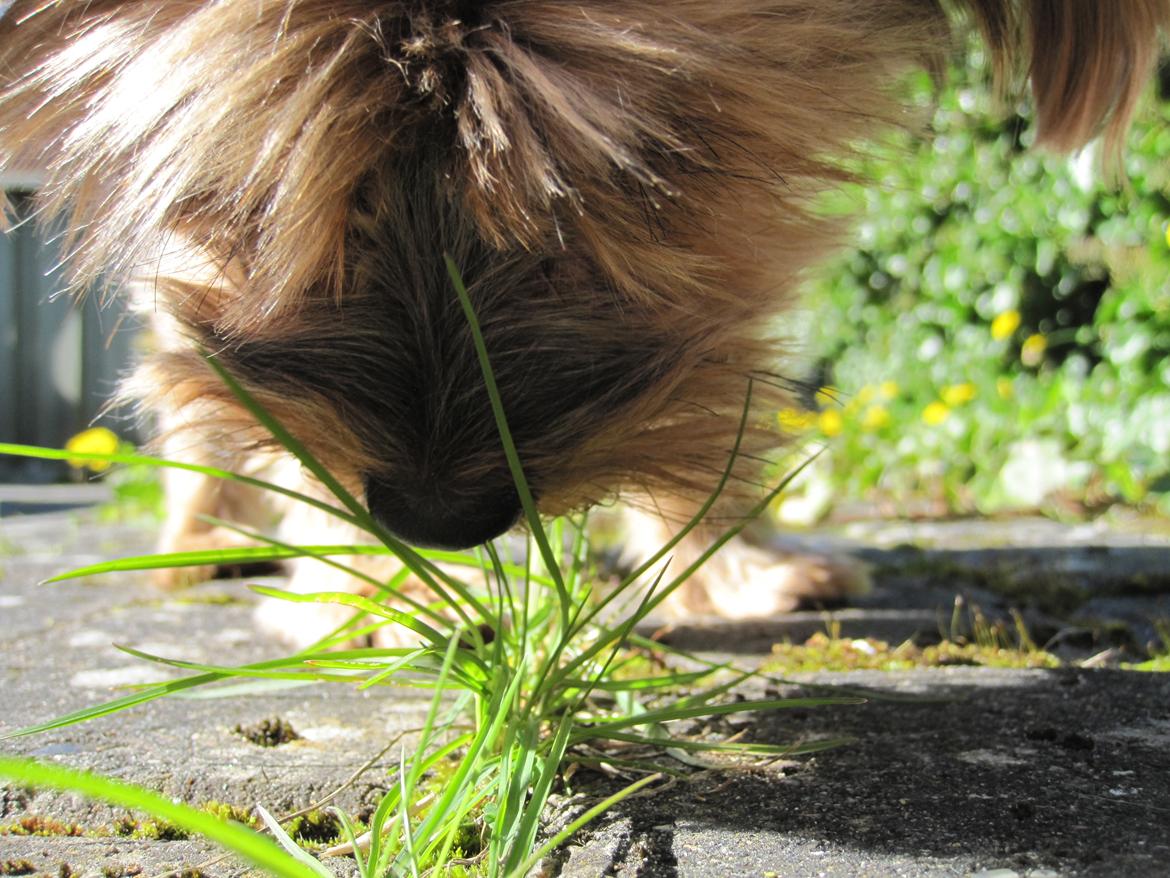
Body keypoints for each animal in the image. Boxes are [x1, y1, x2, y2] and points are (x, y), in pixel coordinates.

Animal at [4, 0, 1165, 646]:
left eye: (648, 171)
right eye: (265, 188)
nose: (432, 517)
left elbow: (722, 380)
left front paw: (726, 565)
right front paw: (375, 593)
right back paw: (201, 541)